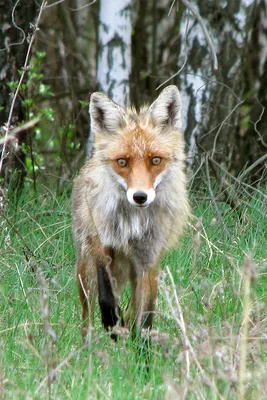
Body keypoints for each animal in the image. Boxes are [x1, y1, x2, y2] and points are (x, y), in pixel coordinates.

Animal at [73, 86, 191, 340]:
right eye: (122, 162)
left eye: (155, 160)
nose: (140, 196)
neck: (132, 224)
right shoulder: (101, 243)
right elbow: (107, 296)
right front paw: (113, 325)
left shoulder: (149, 260)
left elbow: (145, 317)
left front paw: (140, 347)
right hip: (84, 268)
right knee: (87, 314)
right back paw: (87, 343)